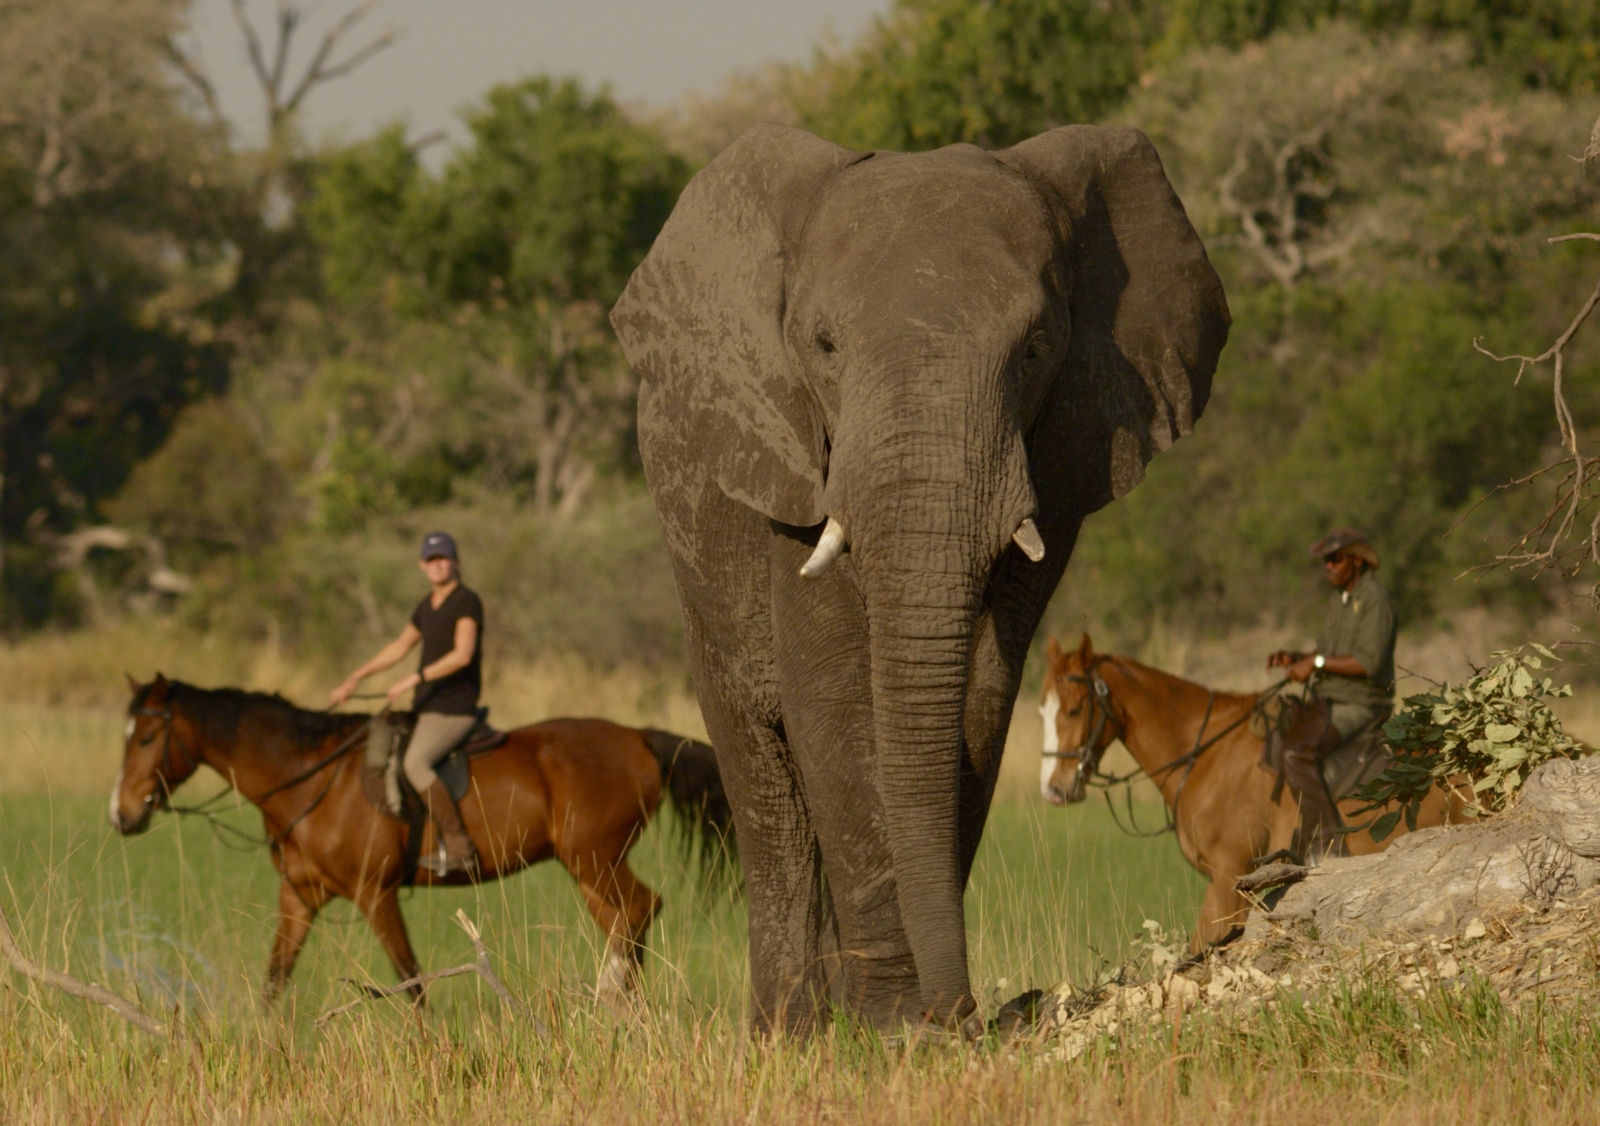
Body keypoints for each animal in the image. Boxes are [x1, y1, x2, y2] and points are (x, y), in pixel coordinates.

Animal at [609, 123, 1229, 1036]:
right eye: (824, 346)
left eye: (1035, 350)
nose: (967, 1013)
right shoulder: (795, 456)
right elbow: (833, 697)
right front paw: (895, 1030)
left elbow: (980, 693)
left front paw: (899, 1027)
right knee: (761, 764)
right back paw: (787, 1033)